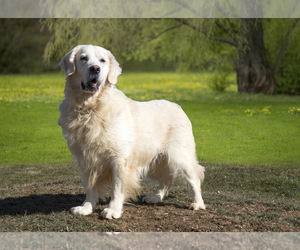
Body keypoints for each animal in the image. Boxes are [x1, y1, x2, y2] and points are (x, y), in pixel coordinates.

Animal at [57, 45, 205, 219]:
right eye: (83, 58)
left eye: (102, 60)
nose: (95, 69)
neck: (90, 108)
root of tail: (178, 106)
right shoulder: (86, 159)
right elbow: (89, 187)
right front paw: (86, 207)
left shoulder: (120, 160)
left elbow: (117, 188)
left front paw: (113, 210)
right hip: (154, 161)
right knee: (166, 179)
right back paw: (155, 197)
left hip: (179, 157)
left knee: (195, 179)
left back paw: (197, 204)